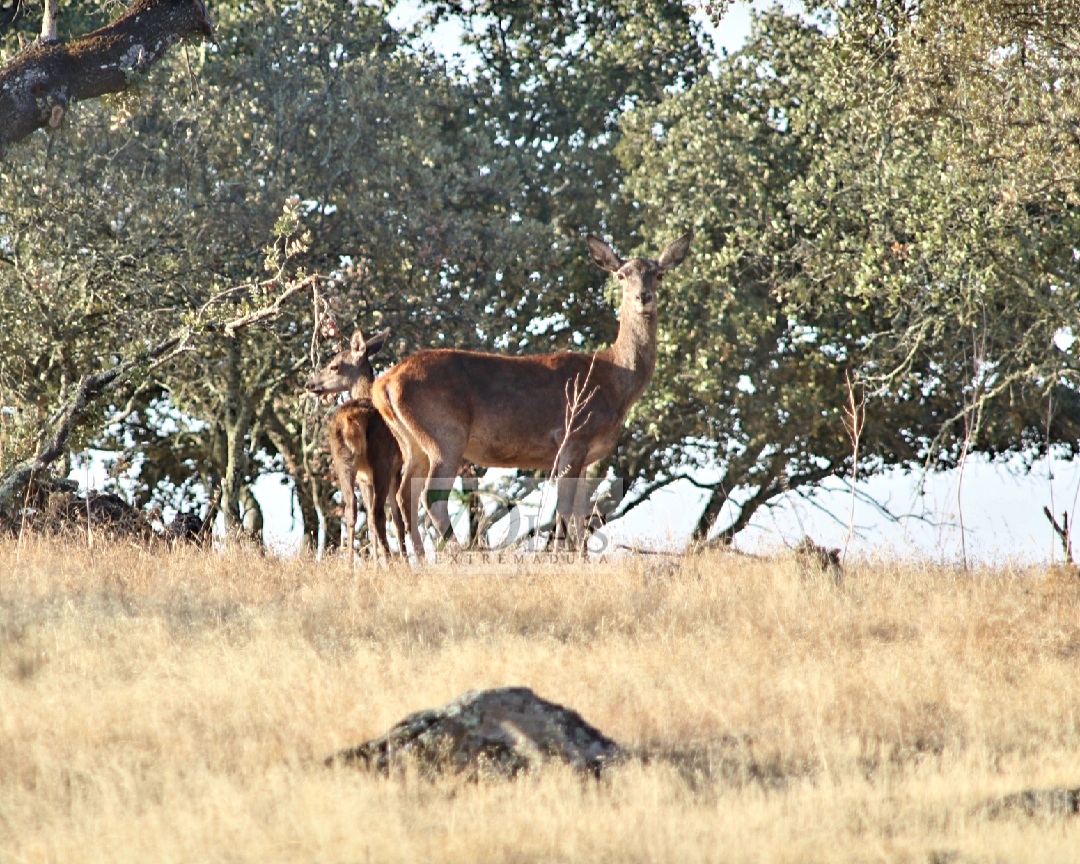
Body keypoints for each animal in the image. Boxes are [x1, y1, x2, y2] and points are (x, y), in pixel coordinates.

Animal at [306, 324, 406, 561]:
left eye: (334, 366)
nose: (309, 384)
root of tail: (349, 420)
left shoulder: (364, 477)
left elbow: (368, 517)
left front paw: (377, 563)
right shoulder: (396, 467)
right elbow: (396, 519)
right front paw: (405, 561)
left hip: (342, 460)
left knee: (352, 509)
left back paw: (349, 563)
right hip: (381, 459)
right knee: (379, 514)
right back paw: (391, 561)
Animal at [371, 231, 691, 552]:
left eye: (659, 274)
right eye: (621, 275)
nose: (643, 297)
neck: (615, 382)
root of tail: (383, 384)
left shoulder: (586, 456)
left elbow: (579, 516)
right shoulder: (572, 440)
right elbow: (565, 511)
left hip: (411, 442)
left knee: (404, 495)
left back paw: (417, 556)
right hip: (445, 434)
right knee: (431, 496)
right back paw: (459, 553)